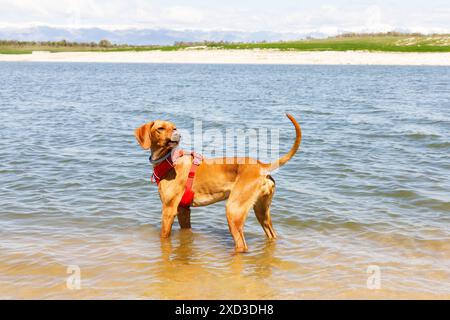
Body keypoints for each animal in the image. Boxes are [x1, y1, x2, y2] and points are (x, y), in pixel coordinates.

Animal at [134, 114, 302, 251]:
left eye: (174, 128)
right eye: (161, 128)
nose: (178, 135)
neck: (170, 161)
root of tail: (261, 166)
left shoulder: (168, 210)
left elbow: (163, 236)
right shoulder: (184, 210)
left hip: (233, 210)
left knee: (241, 245)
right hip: (262, 212)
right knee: (271, 234)